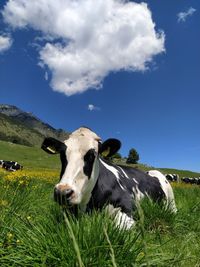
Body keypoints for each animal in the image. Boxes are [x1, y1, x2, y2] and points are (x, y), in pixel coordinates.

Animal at [41, 127, 177, 230]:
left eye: (92, 155)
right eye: (62, 154)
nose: (62, 192)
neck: (89, 206)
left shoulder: (129, 205)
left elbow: (120, 229)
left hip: (170, 201)